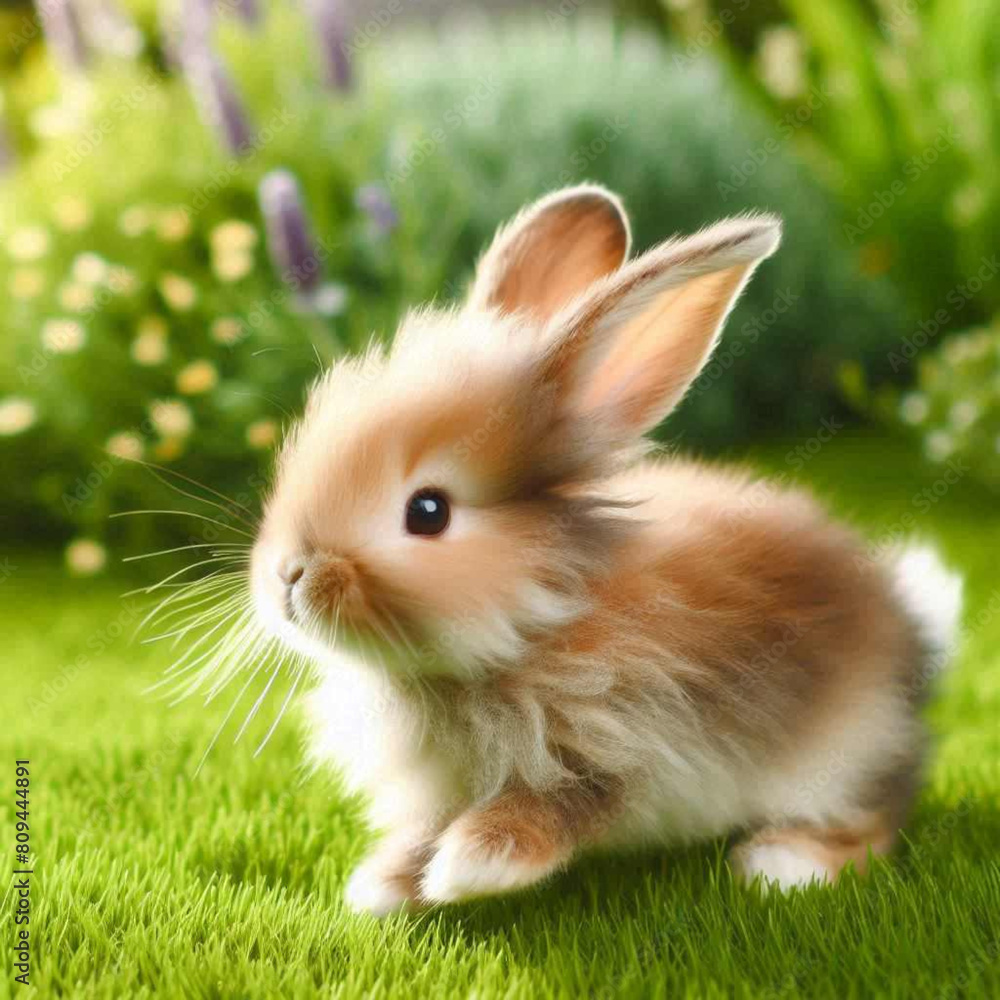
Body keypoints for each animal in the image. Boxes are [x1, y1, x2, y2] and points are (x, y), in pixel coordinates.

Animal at [249, 184, 963, 914]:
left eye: (428, 512)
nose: (287, 577)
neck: (537, 615)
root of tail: (913, 634)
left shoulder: (630, 743)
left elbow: (558, 805)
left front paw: (471, 866)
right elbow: (425, 832)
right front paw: (385, 884)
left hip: (844, 752)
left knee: (877, 816)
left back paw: (784, 863)